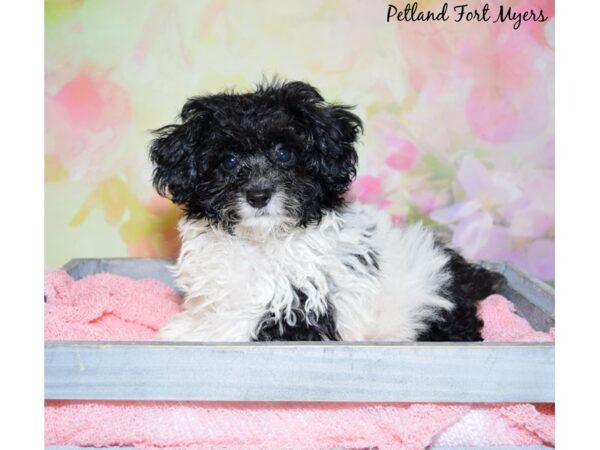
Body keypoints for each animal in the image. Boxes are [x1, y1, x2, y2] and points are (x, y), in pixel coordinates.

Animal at [149, 80, 502, 342]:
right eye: (229, 161)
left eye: (284, 153)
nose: (259, 195)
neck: (261, 242)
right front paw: (181, 329)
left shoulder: (301, 308)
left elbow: (241, 325)